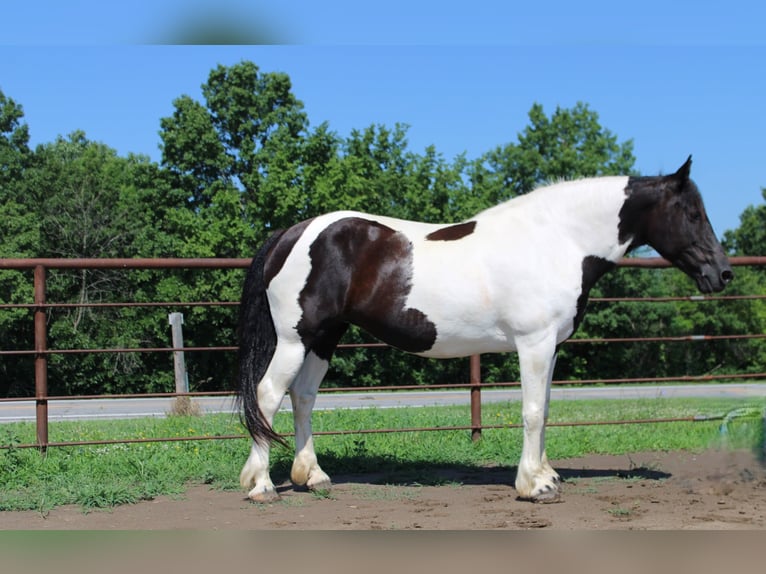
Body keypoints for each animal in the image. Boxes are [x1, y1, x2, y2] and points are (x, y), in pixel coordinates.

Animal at [236, 156, 732, 503]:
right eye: (692, 214)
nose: (723, 274)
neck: (557, 240)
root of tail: (291, 233)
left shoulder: (551, 347)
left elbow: (545, 409)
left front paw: (546, 474)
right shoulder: (534, 344)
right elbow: (532, 411)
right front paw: (534, 486)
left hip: (324, 338)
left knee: (302, 396)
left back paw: (314, 477)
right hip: (296, 339)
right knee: (268, 395)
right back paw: (261, 485)